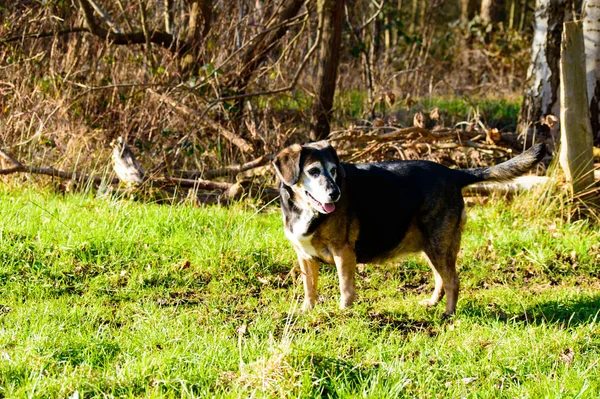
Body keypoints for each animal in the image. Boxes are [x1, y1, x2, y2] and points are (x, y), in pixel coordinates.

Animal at [274, 142, 548, 318]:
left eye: (333, 171)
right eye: (313, 171)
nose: (335, 193)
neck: (305, 209)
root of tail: (454, 173)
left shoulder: (344, 252)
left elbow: (346, 288)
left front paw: (344, 312)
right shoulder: (305, 257)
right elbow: (309, 288)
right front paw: (307, 311)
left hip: (439, 244)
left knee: (452, 281)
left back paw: (448, 314)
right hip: (432, 246)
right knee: (441, 278)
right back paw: (433, 303)